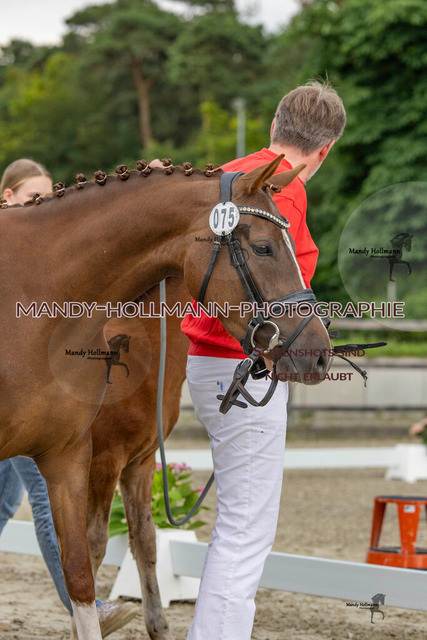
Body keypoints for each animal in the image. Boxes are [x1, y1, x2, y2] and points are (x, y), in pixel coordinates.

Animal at [0, 157, 331, 639]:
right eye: (264, 248)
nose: (319, 354)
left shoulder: (102, 459)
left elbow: (113, 554)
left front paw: (151, 622)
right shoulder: (105, 460)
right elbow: (99, 543)